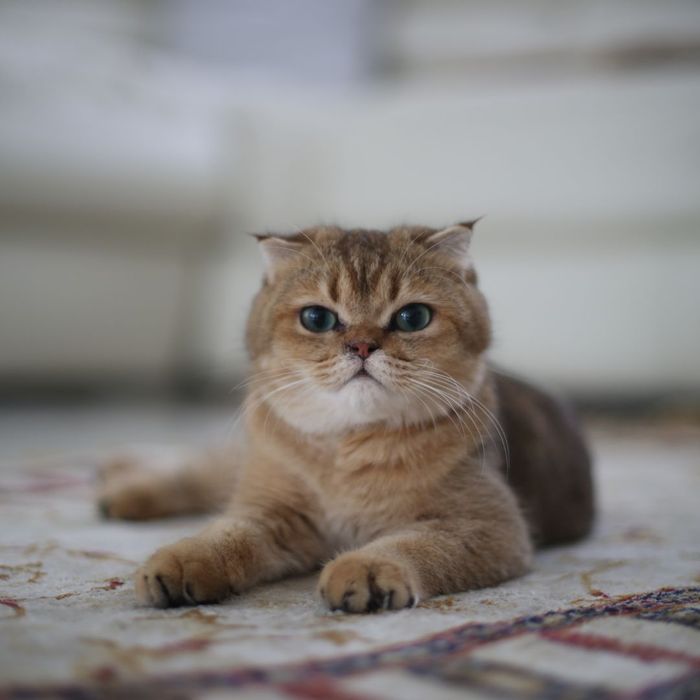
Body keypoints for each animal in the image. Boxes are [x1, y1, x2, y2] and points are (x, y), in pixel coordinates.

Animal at [97, 221, 592, 608]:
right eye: (317, 318)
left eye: (413, 317)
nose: (362, 346)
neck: (346, 453)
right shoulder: (269, 509)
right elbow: (226, 533)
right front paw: (184, 558)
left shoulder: (491, 527)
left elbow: (415, 544)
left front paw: (369, 568)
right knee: (193, 466)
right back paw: (119, 479)